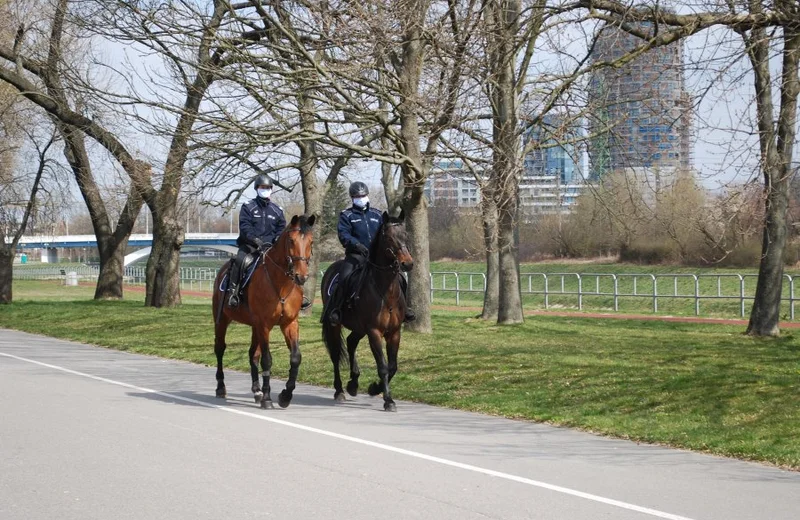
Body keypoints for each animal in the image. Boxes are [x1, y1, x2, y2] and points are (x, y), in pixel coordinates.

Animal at [212, 213, 316, 408]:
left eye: (311, 241)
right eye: (291, 240)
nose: (301, 276)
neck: (280, 283)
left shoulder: (289, 324)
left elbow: (295, 357)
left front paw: (285, 395)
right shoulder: (264, 325)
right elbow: (267, 360)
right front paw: (268, 398)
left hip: (255, 327)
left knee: (253, 354)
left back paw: (256, 390)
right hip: (222, 320)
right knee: (220, 349)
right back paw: (221, 387)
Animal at [318, 210, 412, 410]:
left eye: (406, 235)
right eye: (389, 238)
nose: (408, 264)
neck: (385, 292)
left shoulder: (394, 332)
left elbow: (392, 366)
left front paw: (375, 389)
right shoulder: (374, 332)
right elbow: (383, 366)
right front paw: (388, 400)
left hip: (359, 328)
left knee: (351, 342)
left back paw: (353, 383)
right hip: (336, 326)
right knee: (336, 355)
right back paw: (340, 391)